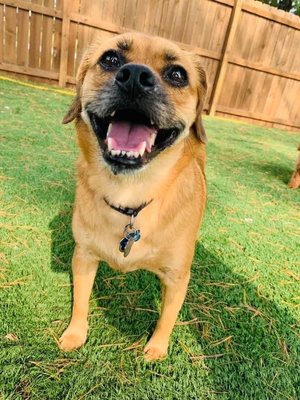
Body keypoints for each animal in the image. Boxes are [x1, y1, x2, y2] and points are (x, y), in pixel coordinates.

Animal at [59, 32, 207, 360]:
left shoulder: (178, 277)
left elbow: (167, 317)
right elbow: (80, 301)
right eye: (110, 59)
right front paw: (75, 333)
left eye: (177, 74)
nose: (136, 77)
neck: (129, 195)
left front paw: (156, 349)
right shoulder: (83, 256)